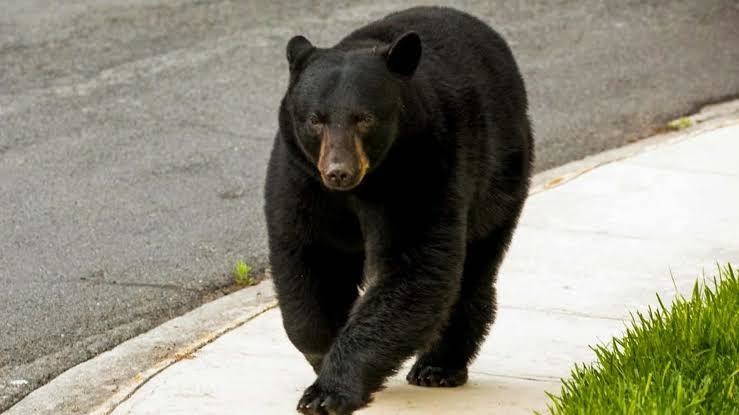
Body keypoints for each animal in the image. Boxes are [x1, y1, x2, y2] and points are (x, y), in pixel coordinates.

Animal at [264, 6, 532, 415]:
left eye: (364, 118)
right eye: (315, 119)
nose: (339, 171)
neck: (365, 185)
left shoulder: (422, 167)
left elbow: (414, 268)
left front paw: (328, 391)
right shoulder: (301, 179)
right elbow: (309, 259)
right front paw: (323, 354)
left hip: (501, 176)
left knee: (473, 270)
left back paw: (439, 366)